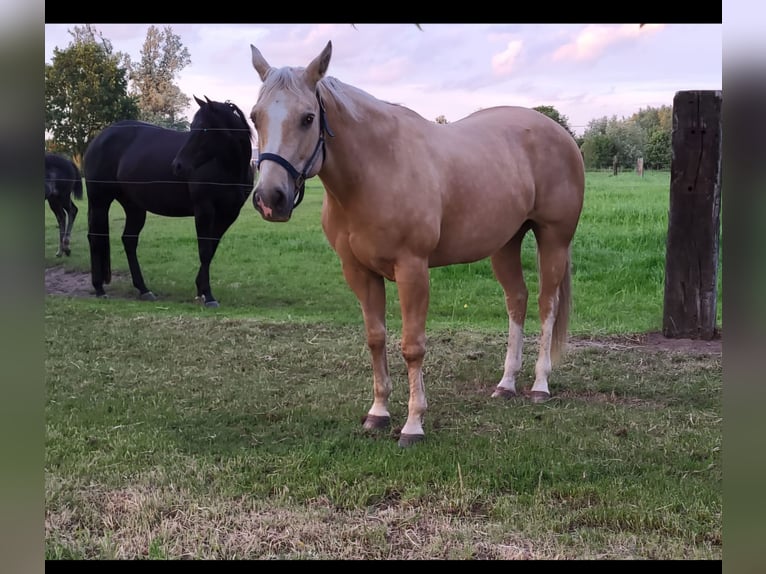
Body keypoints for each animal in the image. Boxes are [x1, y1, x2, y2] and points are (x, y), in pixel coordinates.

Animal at [83, 97, 254, 307]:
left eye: (205, 128)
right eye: (192, 126)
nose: (178, 165)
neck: (228, 169)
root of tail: (98, 139)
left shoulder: (228, 214)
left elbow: (211, 249)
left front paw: (200, 289)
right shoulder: (204, 210)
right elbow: (204, 250)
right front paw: (208, 296)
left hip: (134, 207)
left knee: (129, 240)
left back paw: (143, 289)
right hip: (100, 201)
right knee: (96, 238)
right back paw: (99, 288)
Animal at [248, 41, 585, 447]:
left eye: (308, 118)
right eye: (254, 117)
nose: (271, 198)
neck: (377, 168)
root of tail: (561, 133)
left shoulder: (412, 269)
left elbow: (412, 346)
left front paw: (413, 424)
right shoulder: (359, 272)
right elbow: (375, 338)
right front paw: (378, 413)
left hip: (554, 239)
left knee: (546, 304)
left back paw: (539, 385)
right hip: (506, 243)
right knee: (516, 301)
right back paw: (506, 384)